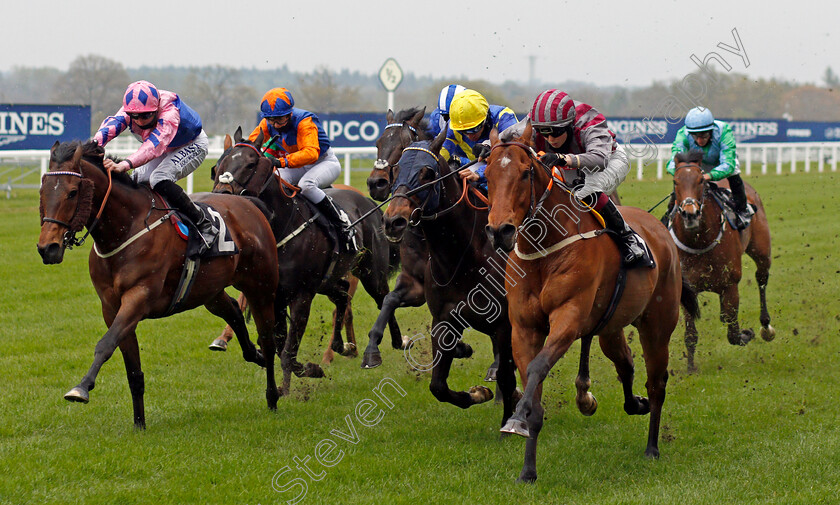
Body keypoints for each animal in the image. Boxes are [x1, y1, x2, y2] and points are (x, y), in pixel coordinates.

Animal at [37, 140, 280, 428]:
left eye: (73, 192)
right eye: (42, 190)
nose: (47, 248)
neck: (126, 227)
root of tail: (248, 203)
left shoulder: (139, 297)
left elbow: (106, 344)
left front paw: (81, 388)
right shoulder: (111, 307)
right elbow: (133, 370)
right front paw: (139, 424)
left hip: (261, 286)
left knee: (268, 339)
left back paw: (273, 396)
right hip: (208, 291)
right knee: (232, 310)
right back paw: (253, 354)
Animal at [215, 127, 402, 394]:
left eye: (250, 164)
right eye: (219, 164)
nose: (222, 196)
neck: (281, 226)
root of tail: (371, 205)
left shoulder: (302, 294)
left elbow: (288, 351)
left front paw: (303, 376)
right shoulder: (276, 295)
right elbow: (281, 345)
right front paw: (286, 386)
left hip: (370, 272)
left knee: (382, 297)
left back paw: (395, 342)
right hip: (328, 281)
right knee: (342, 296)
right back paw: (342, 346)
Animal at [482, 122, 700, 480]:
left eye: (526, 173)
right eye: (486, 174)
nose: (499, 231)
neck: (545, 251)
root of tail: (659, 230)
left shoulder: (568, 318)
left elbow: (540, 365)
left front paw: (515, 419)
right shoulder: (524, 328)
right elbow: (532, 384)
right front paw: (527, 468)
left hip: (656, 326)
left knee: (656, 383)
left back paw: (652, 447)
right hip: (610, 327)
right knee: (626, 364)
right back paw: (632, 403)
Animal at [668, 150, 776, 370]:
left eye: (701, 180)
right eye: (675, 181)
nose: (690, 214)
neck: (699, 242)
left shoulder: (730, 285)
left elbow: (733, 333)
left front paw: (747, 333)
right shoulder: (688, 290)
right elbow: (691, 334)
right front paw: (691, 368)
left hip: (761, 251)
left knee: (761, 279)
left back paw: (765, 326)